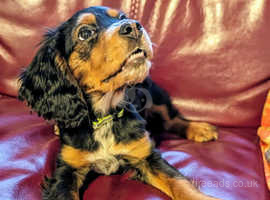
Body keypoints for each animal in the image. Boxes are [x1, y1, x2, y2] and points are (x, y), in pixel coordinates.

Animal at [17, 5, 219, 199]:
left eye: (122, 17)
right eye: (85, 33)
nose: (134, 27)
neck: (105, 115)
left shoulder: (146, 155)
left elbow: (179, 182)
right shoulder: (67, 170)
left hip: (154, 93)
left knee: (170, 118)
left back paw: (200, 129)